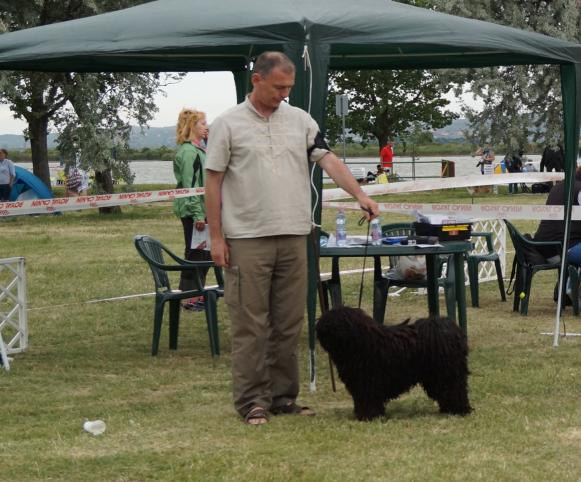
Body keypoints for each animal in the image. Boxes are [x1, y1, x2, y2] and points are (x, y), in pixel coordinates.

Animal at [318, 306, 472, 420]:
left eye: (339, 321)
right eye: (327, 319)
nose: (324, 328)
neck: (362, 343)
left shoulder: (368, 382)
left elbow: (368, 399)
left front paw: (369, 416)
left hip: (447, 372)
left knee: (455, 389)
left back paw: (459, 410)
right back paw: (449, 409)